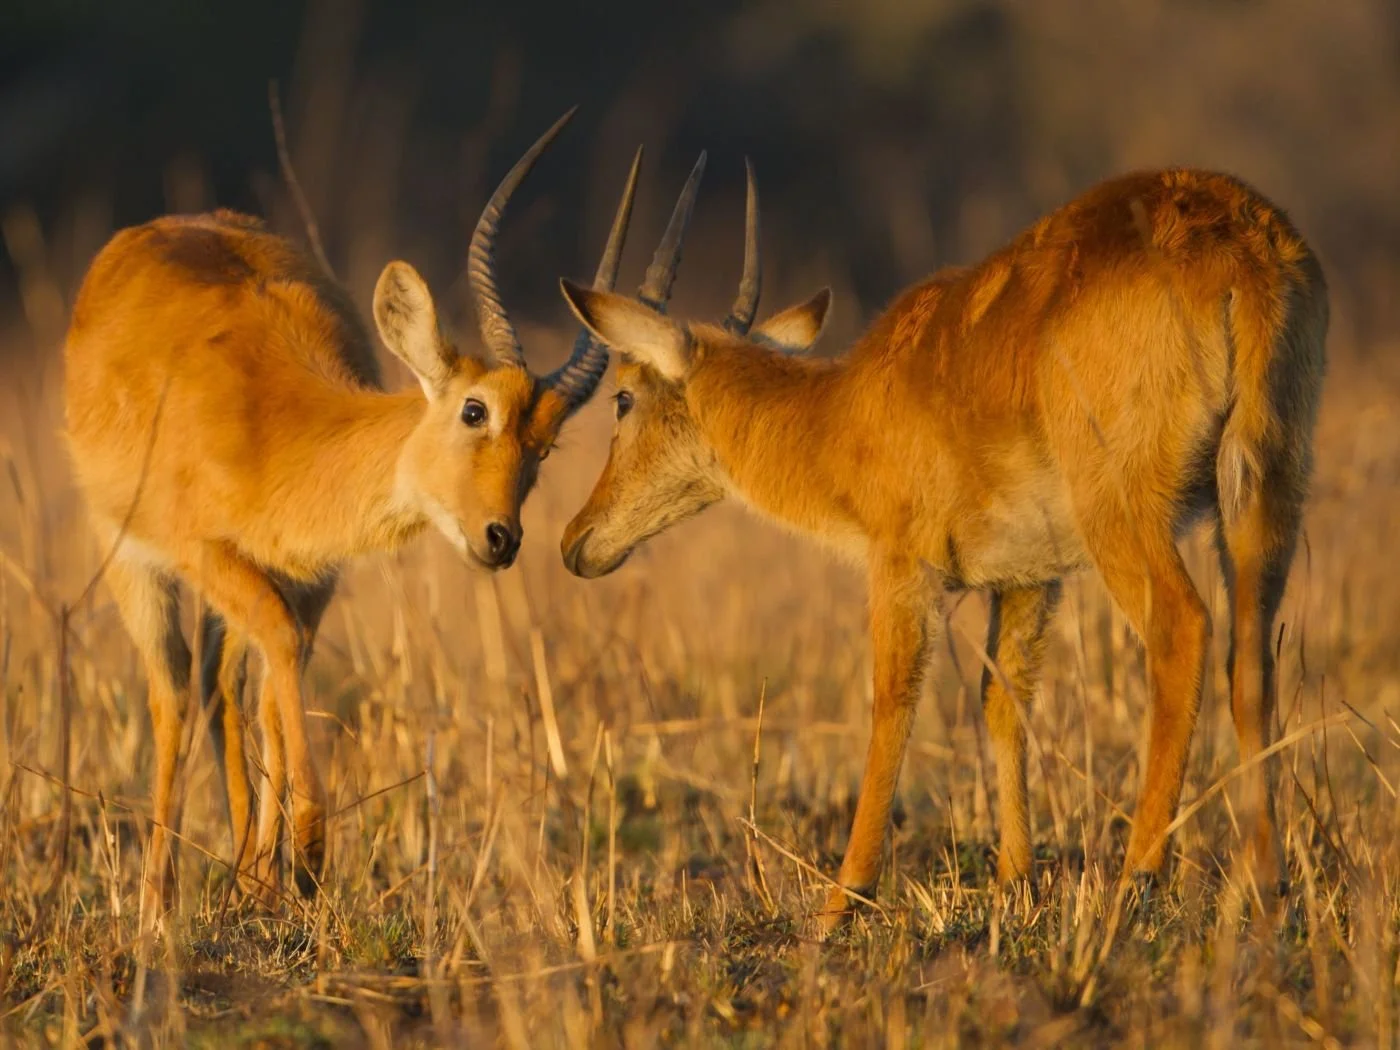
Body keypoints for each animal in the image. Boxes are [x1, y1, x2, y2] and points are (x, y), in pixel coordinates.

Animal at [62, 108, 656, 929]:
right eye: (475, 410)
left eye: (545, 445)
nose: (500, 539)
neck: (273, 428)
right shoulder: (205, 551)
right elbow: (273, 652)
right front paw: (306, 852)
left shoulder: (310, 576)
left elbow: (278, 675)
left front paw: (276, 877)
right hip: (130, 558)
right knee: (173, 690)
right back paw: (158, 904)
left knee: (222, 686)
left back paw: (242, 877)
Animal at [557, 167, 1328, 931]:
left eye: (622, 397)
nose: (575, 541)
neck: (843, 413)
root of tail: (1244, 244)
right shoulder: (1030, 577)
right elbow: (1002, 697)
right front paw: (1016, 882)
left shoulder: (901, 567)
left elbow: (891, 702)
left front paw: (842, 900)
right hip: (1265, 496)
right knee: (1251, 658)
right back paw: (1268, 887)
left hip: (1125, 515)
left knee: (1182, 630)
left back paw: (1136, 884)